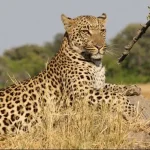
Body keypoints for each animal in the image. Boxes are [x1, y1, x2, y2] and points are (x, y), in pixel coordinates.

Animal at [0, 13, 141, 135]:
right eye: (85, 31)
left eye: (102, 30)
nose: (100, 46)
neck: (95, 63)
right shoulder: (80, 92)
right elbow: (114, 95)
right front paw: (133, 111)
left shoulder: (97, 84)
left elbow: (113, 87)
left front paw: (133, 88)